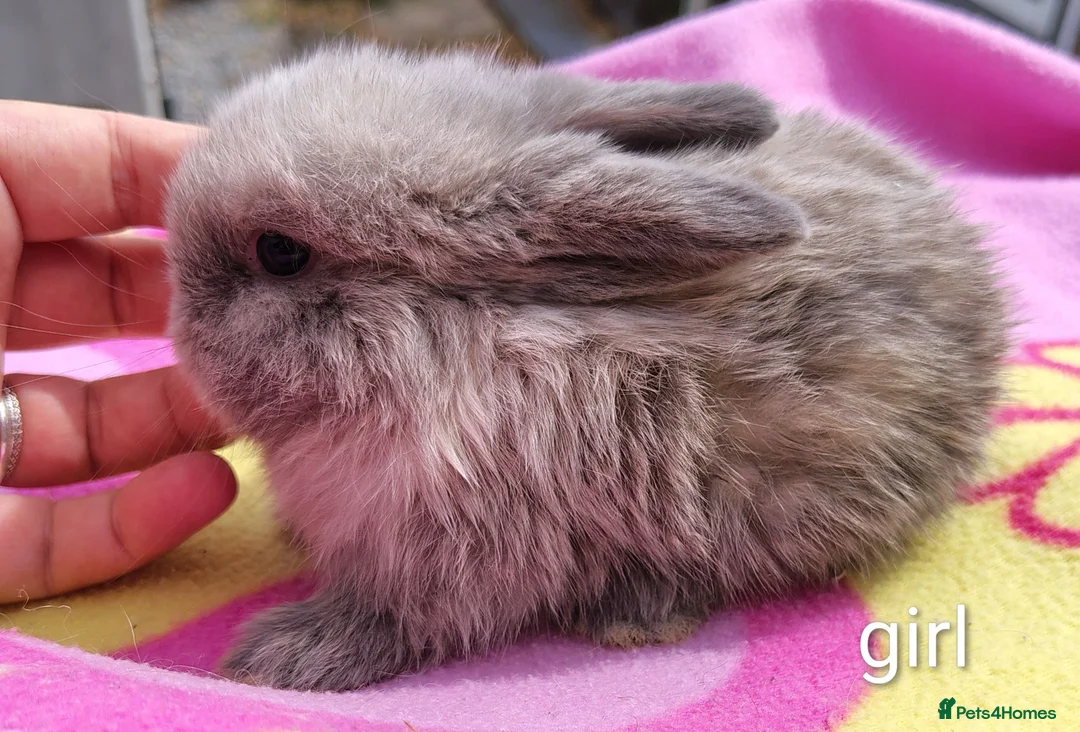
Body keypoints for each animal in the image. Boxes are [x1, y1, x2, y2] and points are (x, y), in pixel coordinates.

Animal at [164, 44, 1010, 692]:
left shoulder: (463, 554)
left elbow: (404, 616)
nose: (181, 334)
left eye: (281, 252)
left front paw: (277, 656)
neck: (441, 338)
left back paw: (633, 614)